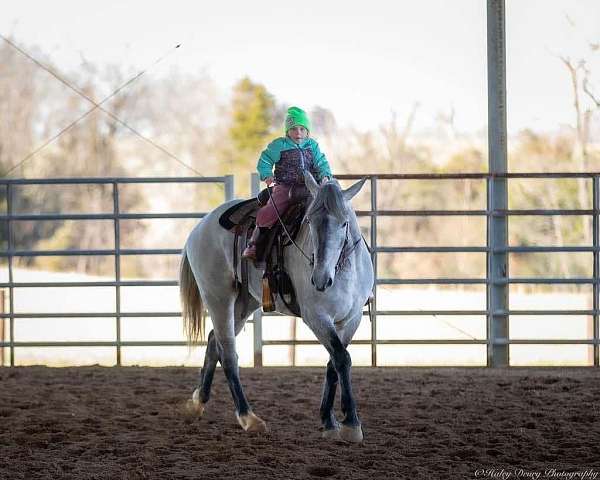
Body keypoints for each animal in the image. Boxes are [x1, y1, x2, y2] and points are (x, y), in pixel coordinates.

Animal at [179, 172, 376, 442]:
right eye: (309, 221)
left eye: (344, 223)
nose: (320, 279)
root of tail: (200, 227)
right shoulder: (317, 318)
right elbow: (341, 359)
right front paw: (351, 424)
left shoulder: (351, 319)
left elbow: (333, 364)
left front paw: (329, 421)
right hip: (218, 297)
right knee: (228, 353)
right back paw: (249, 418)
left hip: (244, 303)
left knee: (213, 342)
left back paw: (197, 403)